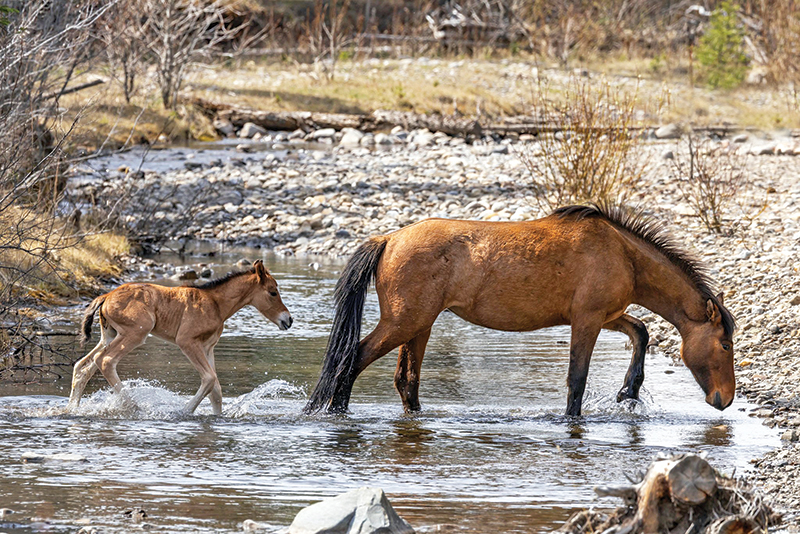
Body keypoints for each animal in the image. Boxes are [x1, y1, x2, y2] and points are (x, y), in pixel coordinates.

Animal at [68, 260, 293, 415]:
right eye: (273, 292)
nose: (288, 320)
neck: (216, 304)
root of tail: (105, 296)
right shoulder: (187, 341)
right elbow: (209, 379)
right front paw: (183, 411)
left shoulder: (207, 347)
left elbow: (217, 390)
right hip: (136, 333)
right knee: (105, 360)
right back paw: (133, 407)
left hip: (109, 335)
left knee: (82, 366)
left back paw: (72, 408)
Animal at [304, 204, 736, 416]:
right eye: (725, 346)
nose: (725, 399)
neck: (623, 254)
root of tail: (389, 238)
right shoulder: (588, 321)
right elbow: (577, 379)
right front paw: (574, 418)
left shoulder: (608, 317)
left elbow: (641, 332)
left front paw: (629, 390)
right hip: (403, 322)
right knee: (352, 360)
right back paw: (335, 414)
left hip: (419, 326)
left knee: (405, 380)